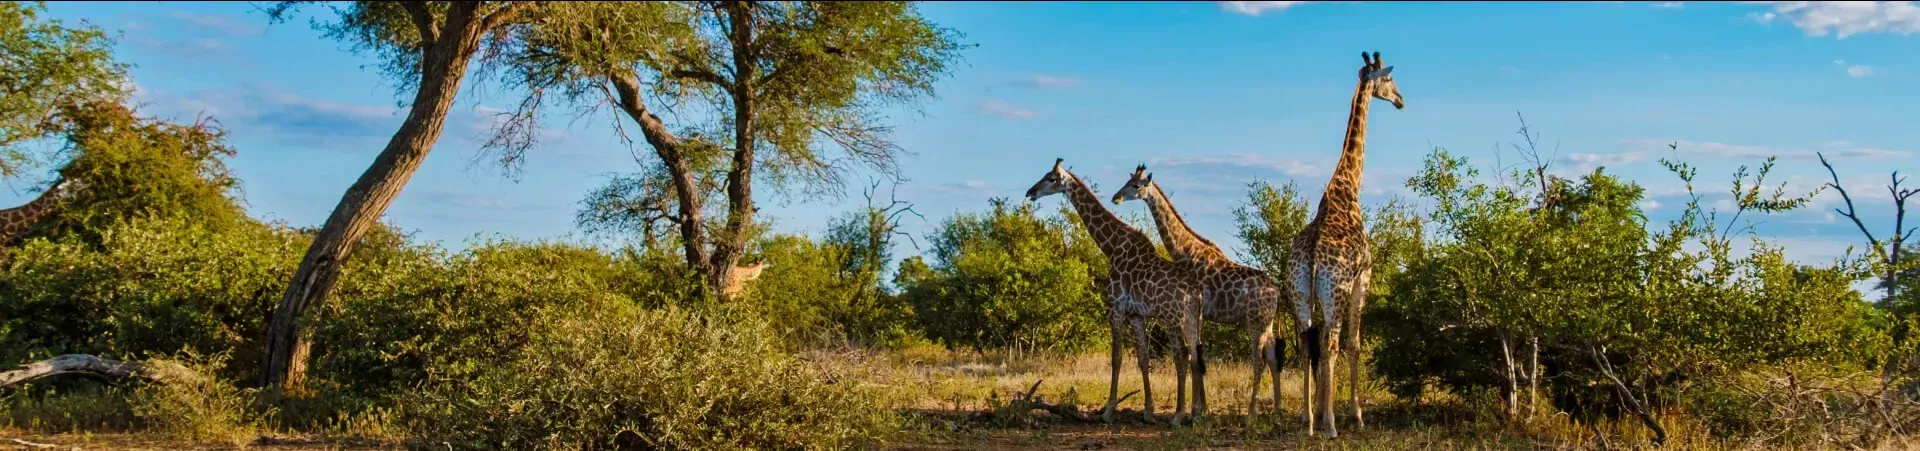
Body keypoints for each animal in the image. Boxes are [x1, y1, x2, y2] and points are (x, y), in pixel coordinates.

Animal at [1021, 158, 1198, 426]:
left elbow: (1116, 358)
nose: (1030, 192)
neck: (1112, 247)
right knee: (1194, 355)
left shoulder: (1115, 308)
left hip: (1171, 317)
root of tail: (1194, 291)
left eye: (1051, 178)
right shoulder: (1136, 315)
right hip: (1191, 319)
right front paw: (1148, 412)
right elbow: (1142, 358)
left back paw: (1178, 416)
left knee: (1182, 355)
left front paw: (1108, 410)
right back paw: (1193, 414)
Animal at [1121, 165, 1297, 422]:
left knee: (1258, 361)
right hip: (1268, 323)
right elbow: (1199, 354)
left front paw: (1197, 411)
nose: (1116, 197)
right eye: (1127, 181)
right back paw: (1277, 412)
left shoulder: (1198, 311)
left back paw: (1251, 415)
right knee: (1273, 358)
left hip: (1255, 322)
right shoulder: (1201, 314)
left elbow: (1196, 356)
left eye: (1135, 185)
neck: (1186, 252)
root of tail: (1276, 291)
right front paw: (1202, 409)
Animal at [1297, 51, 1405, 439]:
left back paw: (1308, 420)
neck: (1347, 184)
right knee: (1330, 343)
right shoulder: (1364, 277)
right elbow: (1354, 345)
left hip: (1299, 291)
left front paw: (1317, 413)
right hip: (1337, 290)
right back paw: (1330, 425)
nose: (1401, 101)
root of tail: (1313, 255)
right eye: (1388, 80)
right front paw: (1356, 415)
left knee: (1308, 342)